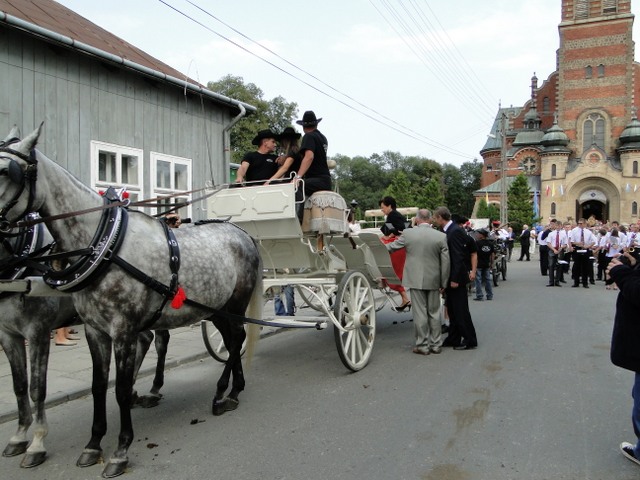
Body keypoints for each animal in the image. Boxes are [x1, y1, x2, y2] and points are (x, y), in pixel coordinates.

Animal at [0, 125, 263, 478]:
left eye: (7, 171)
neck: (104, 245)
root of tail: (242, 232)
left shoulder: (115, 330)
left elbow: (119, 390)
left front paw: (120, 450)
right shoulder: (93, 331)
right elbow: (98, 386)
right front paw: (93, 444)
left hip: (233, 305)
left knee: (234, 340)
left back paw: (223, 393)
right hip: (216, 308)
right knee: (233, 338)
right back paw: (233, 389)